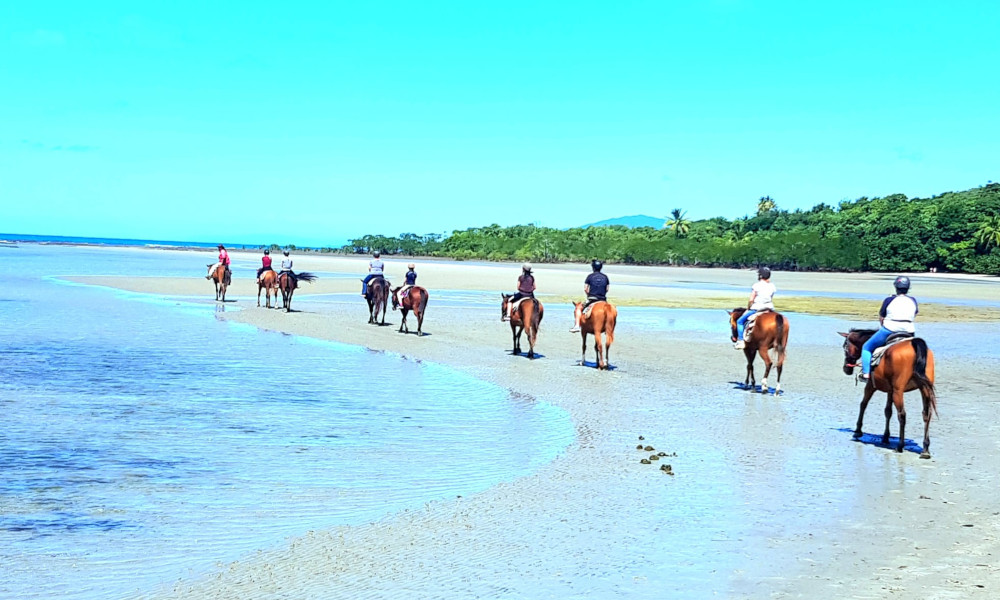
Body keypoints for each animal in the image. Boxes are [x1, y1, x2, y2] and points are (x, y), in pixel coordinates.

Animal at [839, 329, 937, 457]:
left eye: (845, 346)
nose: (846, 369)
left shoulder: (871, 385)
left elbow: (863, 404)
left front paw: (857, 431)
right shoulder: (890, 391)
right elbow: (887, 411)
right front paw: (885, 437)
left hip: (898, 391)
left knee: (902, 415)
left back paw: (900, 446)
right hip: (924, 389)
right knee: (926, 414)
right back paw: (925, 449)